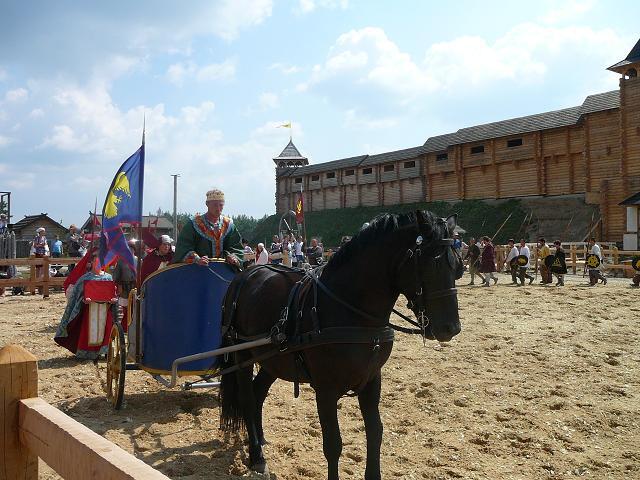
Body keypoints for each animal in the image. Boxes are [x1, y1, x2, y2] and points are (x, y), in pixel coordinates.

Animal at [219, 211, 460, 480]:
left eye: (456, 266)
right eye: (431, 264)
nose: (450, 328)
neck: (348, 308)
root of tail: (246, 273)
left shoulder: (371, 380)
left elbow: (375, 432)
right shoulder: (326, 389)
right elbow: (333, 444)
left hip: (273, 360)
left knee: (259, 393)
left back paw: (260, 442)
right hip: (242, 356)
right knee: (248, 398)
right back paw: (256, 455)